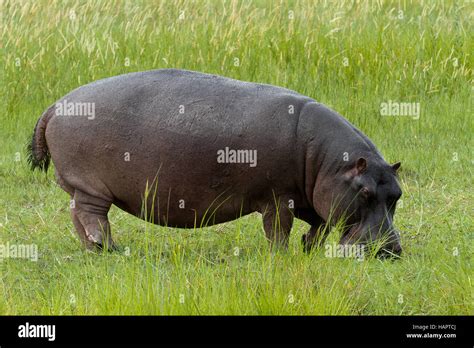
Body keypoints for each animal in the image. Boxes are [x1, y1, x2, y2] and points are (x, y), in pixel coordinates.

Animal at [26, 69, 404, 256]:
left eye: (397, 194)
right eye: (365, 193)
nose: (390, 251)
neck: (328, 162)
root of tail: (54, 105)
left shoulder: (313, 196)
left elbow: (320, 224)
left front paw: (308, 249)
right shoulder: (279, 197)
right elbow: (278, 229)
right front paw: (283, 256)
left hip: (80, 187)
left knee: (78, 216)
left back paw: (99, 249)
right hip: (90, 186)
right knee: (91, 216)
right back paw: (107, 249)